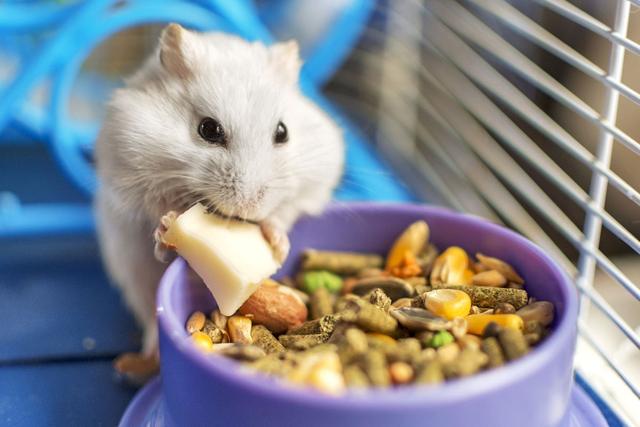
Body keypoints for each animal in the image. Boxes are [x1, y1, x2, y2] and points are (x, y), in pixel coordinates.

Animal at [94, 24, 344, 370]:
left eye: (282, 132)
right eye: (208, 129)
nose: (249, 207)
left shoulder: (313, 183)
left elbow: (282, 214)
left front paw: (278, 245)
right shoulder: (129, 173)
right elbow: (157, 209)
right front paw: (168, 225)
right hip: (132, 271)